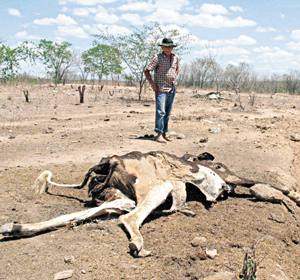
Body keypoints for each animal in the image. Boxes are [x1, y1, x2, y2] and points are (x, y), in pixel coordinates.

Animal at [1, 152, 298, 258]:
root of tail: (111, 161)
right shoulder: (233, 176)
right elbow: (275, 188)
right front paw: (292, 200)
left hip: (120, 200)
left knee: (78, 215)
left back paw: (13, 228)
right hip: (156, 189)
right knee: (129, 219)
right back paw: (139, 245)